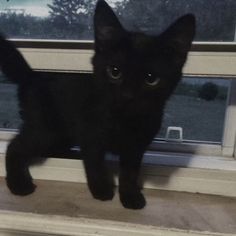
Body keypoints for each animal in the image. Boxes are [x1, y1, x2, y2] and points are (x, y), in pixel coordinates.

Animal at [0, 0, 195, 210]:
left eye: (151, 79)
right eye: (114, 71)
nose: (127, 96)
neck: (123, 120)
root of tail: (32, 75)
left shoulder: (136, 146)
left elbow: (130, 172)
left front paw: (130, 195)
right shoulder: (90, 134)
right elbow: (95, 163)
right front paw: (102, 190)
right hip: (45, 128)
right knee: (14, 147)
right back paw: (19, 184)